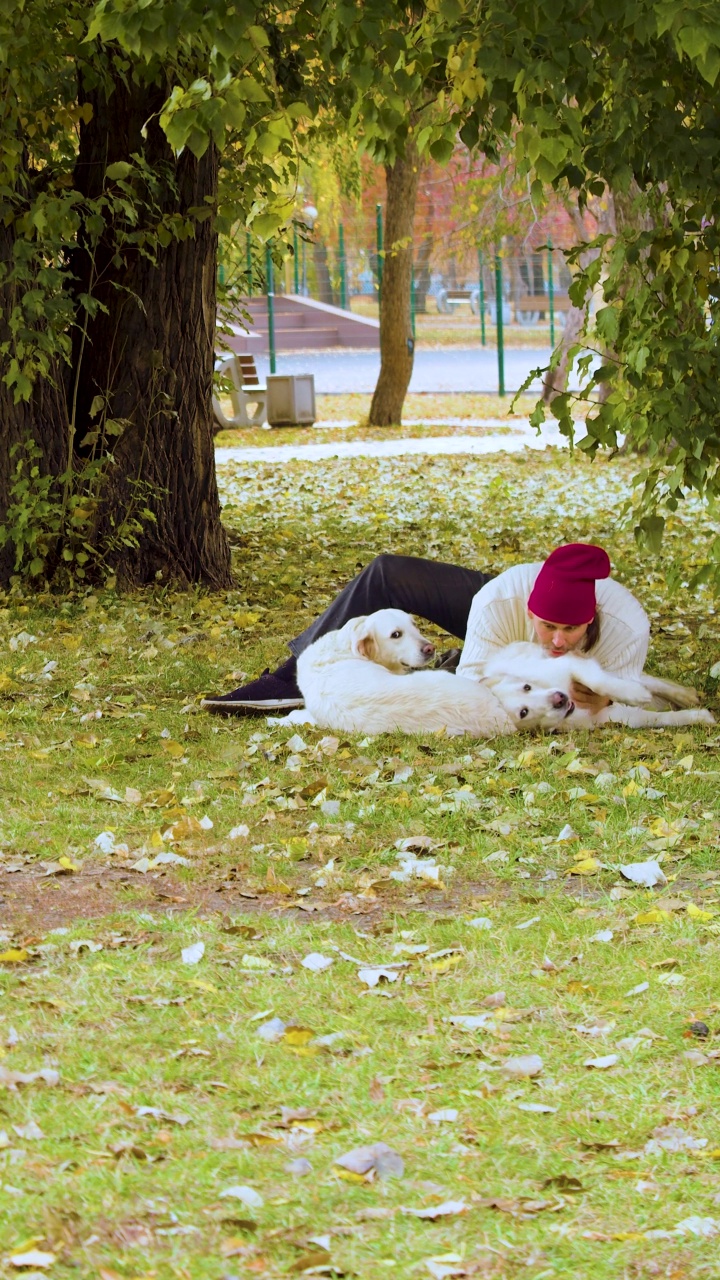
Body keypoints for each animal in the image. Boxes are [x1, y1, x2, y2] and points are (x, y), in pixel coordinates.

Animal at [294, 611, 707, 737]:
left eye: (410, 626)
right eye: (395, 635)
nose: (429, 649)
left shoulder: (569, 666)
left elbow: (608, 682)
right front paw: (694, 716)